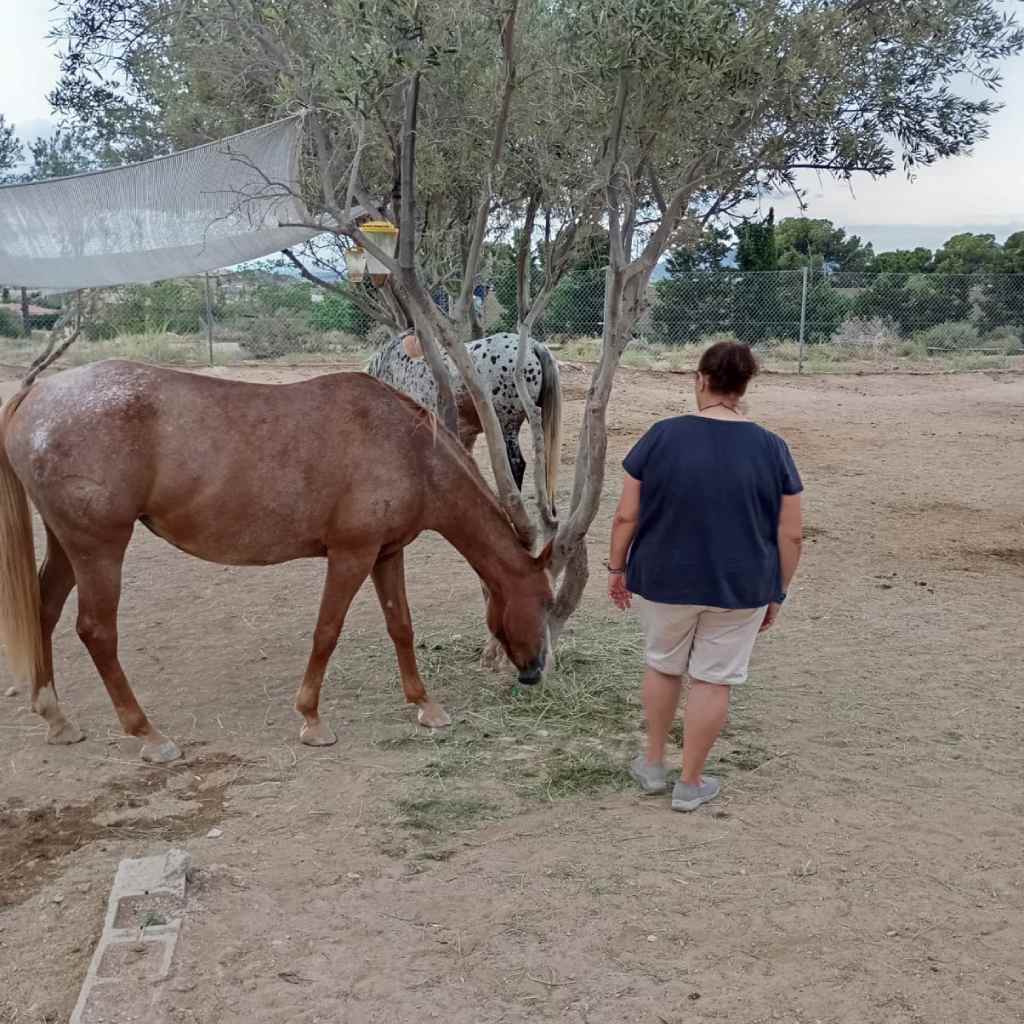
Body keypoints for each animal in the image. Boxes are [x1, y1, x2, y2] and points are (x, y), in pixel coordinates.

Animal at [0, 360, 552, 764]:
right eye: (547, 602)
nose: (532, 673)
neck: (406, 447)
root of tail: (37, 394)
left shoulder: (386, 552)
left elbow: (401, 627)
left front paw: (425, 705)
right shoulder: (351, 555)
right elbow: (327, 631)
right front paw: (312, 720)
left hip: (67, 545)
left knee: (44, 611)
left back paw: (56, 719)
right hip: (99, 548)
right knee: (96, 632)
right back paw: (148, 734)